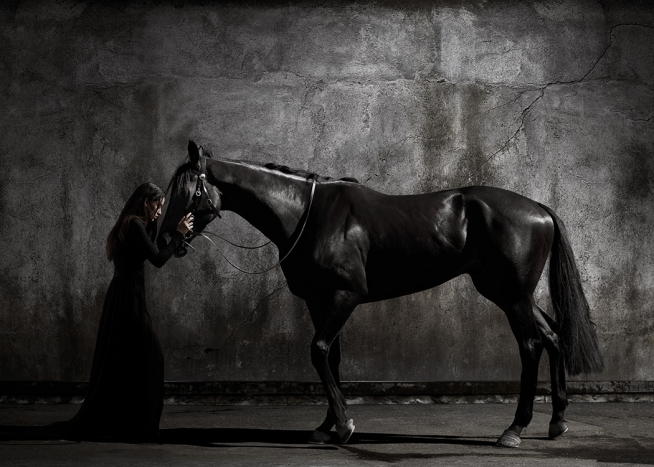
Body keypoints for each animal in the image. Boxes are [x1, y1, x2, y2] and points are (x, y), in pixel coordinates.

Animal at [158, 140, 603, 448]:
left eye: (189, 190)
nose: (164, 242)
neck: (308, 214)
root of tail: (540, 209)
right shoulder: (320, 301)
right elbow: (331, 358)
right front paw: (326, 426)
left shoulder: (345, 295)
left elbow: (318, 350)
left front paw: (344, 425)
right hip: (514, 294)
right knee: (552, 335)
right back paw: (557, 421)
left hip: (511, 296)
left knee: (530, 345)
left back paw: (514, 429)